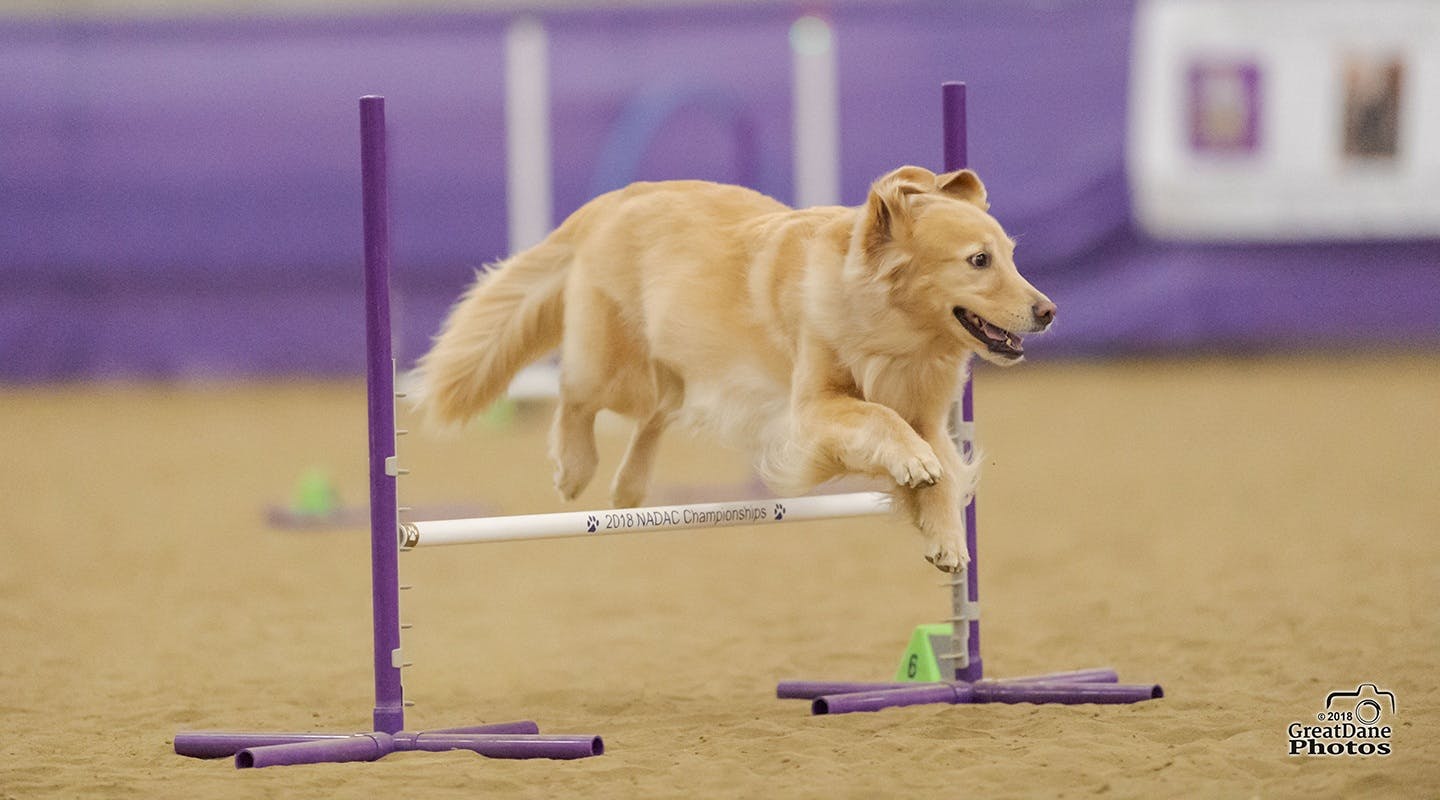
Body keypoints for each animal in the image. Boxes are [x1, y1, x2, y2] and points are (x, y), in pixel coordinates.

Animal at [411, 165, 1054, 572]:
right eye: (978, 261)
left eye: (1011, 256)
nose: (1048, 312)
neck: (896, 335)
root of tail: (618, 198)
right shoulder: (813, 408)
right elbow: (880, 421)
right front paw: (912, 465)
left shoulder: (929, 415)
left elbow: (944, 471)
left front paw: (945, 536)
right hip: (615, 365)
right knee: (575, 395)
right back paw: (574, 468)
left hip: (674, 365)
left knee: (653, 417)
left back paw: (629, 489)